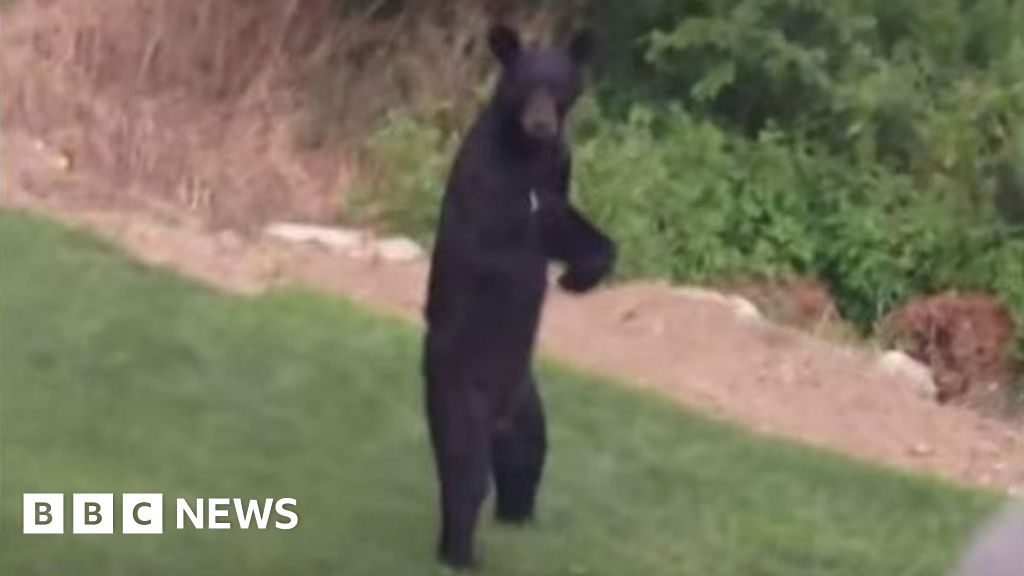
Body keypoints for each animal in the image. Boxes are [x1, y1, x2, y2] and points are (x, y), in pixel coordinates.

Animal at [422, 24, 616, 569]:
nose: (542, 122)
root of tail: (496, 415)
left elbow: (573, 222)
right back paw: (459, 553)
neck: (527, 152)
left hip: (528, 401)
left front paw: (580, 275)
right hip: (456, 391)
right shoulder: (490, 179)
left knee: (529, 453)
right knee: (464, 472)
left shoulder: (560, 166)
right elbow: (508, 237)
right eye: (528, 85)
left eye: (558, 85)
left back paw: (521, 517)